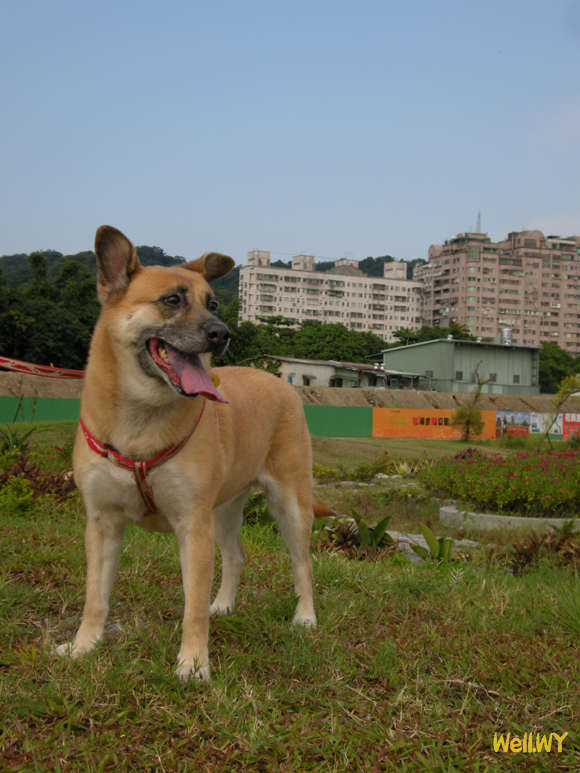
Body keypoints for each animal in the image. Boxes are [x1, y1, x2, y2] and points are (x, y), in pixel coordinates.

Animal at [56, 226, 314, 680]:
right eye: (172, 300)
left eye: (212, 303)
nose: (222, 333)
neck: (139, 423)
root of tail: (280, 381)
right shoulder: (102, 524)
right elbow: (94, 597)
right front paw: (84, 645)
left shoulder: (193, 526)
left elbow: (191, 607)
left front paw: (193, 664)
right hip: (224, 509)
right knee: (236, 556)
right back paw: (224, 605)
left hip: (290, 504)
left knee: (303, 564)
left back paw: (305, 617)